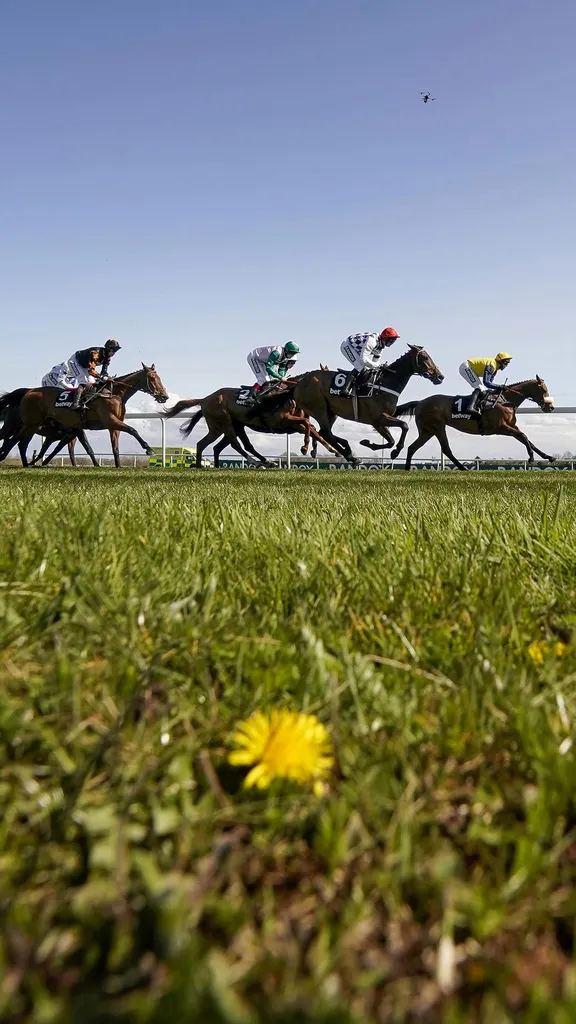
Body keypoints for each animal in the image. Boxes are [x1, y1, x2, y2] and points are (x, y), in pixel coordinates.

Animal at [0, 365, 169, 468]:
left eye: (159, 378)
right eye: (152, 379)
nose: (164, 396)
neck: (113, 393)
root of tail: (29, 391)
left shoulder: (111, 426)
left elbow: (115, 448)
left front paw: (118, 466)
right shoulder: (110, 421)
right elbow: (133, 430)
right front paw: (148, 449)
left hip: (32, 424)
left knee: (18, 441)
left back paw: (24, 462)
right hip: (31, 423)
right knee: (17, 441)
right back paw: (19, 461)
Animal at [164, 382, 338, 468]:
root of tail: (205, 399)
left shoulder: (293, 425)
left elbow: (312, 429)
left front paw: (330, 450)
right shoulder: (282, 420)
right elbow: (308, 424)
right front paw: (306, 448)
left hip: (229, 426)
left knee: (210, 445)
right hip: (223, 422)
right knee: (234, 444)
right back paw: (257, 462)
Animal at [292, 346, 444, 463]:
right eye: (425, 357)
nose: (440, 376)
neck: (386, 382)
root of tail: (300, 382)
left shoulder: (382, 420)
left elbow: (392, 439)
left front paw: (372, 445)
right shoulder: (377, 419)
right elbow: (403, 427)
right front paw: (393, 451)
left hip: (331, 412)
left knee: (323, 432)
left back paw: (347, 451)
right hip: (319, 408)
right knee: (327, 433)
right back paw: (350, 457)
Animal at [396, 377, 555, 470]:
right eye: (543, 389)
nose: (550, 407)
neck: (505, 400)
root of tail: (420, 402)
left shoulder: (511, 426)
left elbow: (527, 439)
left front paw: (548, 457)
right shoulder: (500, 427)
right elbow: (523, 436)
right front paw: (531, 458)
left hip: (427, 431)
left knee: (412, 447)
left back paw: (406, 466)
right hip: (438, 427)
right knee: (446, 449)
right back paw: (462, 468)